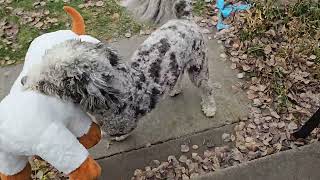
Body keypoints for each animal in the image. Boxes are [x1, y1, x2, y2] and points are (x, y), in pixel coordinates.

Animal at [23, 0, 218, 140]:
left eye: (47, 81)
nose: (23, 81)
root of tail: (185, 20)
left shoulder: (124, 123)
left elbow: (121, 132)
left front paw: (116, 137)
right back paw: (174, 89)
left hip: (198, 65)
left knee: (206, 88)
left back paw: (209, 107)